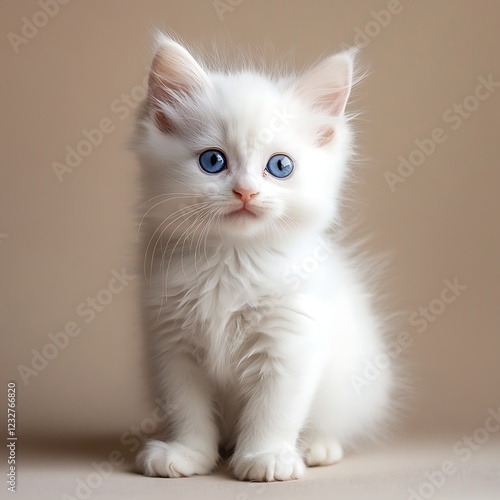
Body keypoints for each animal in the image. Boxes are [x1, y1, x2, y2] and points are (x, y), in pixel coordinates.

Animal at [134, 34, 394, 480]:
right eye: (213, 161)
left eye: (280, 166)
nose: (246, 192)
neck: (231, 259)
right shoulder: (174, 344)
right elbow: (188, 409)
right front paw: (187, 454)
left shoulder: (291, 340)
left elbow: (275, 409)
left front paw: (265, 457)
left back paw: (316, 447)